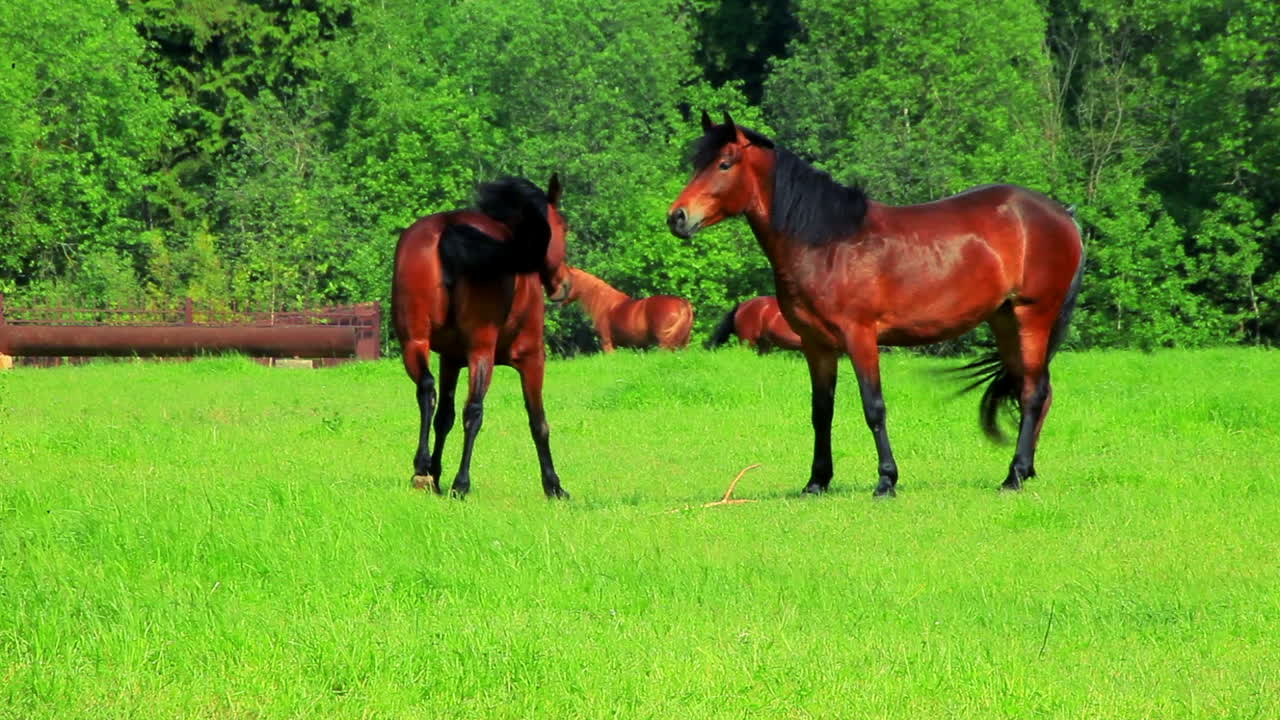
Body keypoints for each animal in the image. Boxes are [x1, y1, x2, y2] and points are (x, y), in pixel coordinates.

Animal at [392, 175, 572, 499]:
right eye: (563, 227)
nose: (564, 284)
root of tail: (449, 227)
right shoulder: (532, 358)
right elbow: (538, 421)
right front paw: (554, 486)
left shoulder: (450, 359)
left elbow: (444, 418)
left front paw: (435, 472)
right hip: (481, 350)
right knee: (473, 411)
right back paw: (461, 483)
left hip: (414, 343)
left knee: (427, 390)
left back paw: (422, 469)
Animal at [559, 266, 693, 352]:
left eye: (565, 282)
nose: (558, 302)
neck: (605, 304)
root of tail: (682, 303)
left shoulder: (607, 343)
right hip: (684, 343)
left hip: (665, 343)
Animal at [668, 112, 1085, 496]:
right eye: (697, 164)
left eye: (725, 163)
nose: (677, 217)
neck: (827, 244)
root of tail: (1062, 215)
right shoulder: (816, 345)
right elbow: (821, 411)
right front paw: (817, 481)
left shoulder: (861, 337)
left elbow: (874, 407)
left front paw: (886, 480)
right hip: (1004, 320)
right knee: (1037, 389)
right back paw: (1024, 470)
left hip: (1033, 314)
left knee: (1032, 393)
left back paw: (1014, 475)